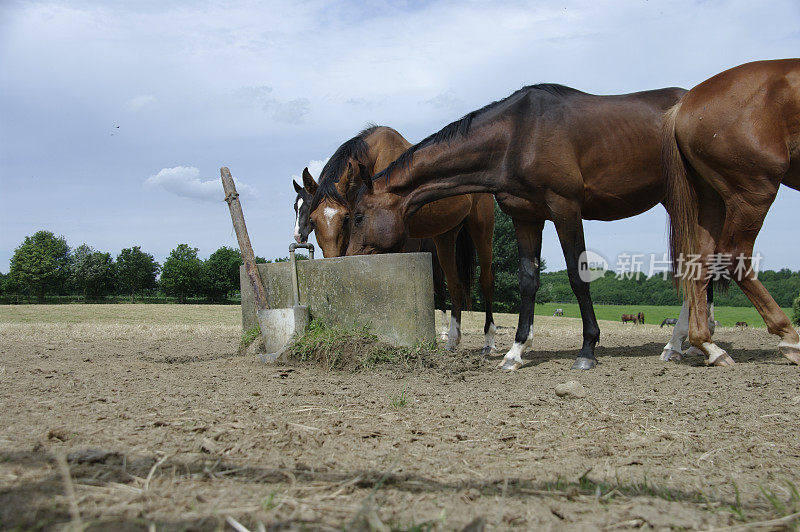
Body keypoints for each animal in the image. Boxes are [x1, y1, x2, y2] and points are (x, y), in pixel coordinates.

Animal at [296, 124, 494, 354]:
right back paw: (453, 340)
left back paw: (489, 340)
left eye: (346, 217)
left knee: (486, 280)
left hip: (481, 229)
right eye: (313, 219)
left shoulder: (400, 242)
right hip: (445, 235)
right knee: (454, 284)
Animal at [346, 85, 716, 372]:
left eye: (359, 216)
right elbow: (528, 280)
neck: (517, 136)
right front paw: (515, 351)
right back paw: (688, 342)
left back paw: (689, 342)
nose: (346, 257)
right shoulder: (526, 218)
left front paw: (587, 349)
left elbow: (576, 276)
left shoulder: (566, 210)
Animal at [664, 58, 800, 366]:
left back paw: (707, 345)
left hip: (712, 198)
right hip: (753, 192)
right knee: (734, 255)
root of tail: (685, 106)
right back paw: (789, 337)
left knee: (700, 261)